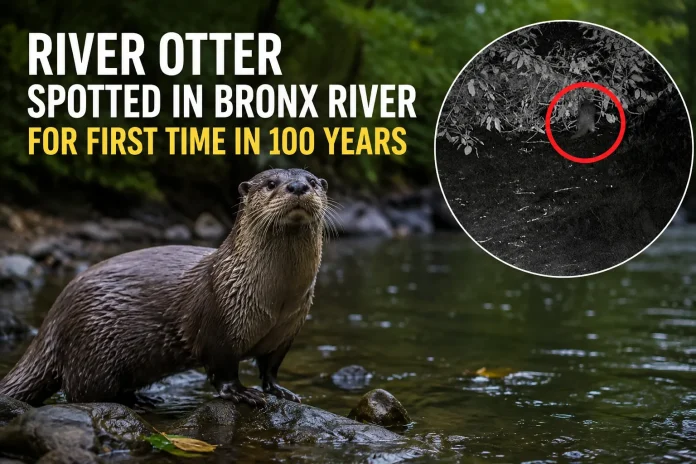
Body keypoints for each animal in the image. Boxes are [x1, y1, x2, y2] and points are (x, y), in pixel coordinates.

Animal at [0, 168, 329, 407]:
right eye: (271, 183)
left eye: (313, 181)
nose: (298, 187)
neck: (277, 302)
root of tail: (54, 316)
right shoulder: (218, 322)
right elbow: (222, 370)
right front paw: (242, 393)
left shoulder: (288, 330)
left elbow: (270, 368)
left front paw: (281, 391)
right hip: (93, 347)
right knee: (82, 393)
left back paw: (144, 398)